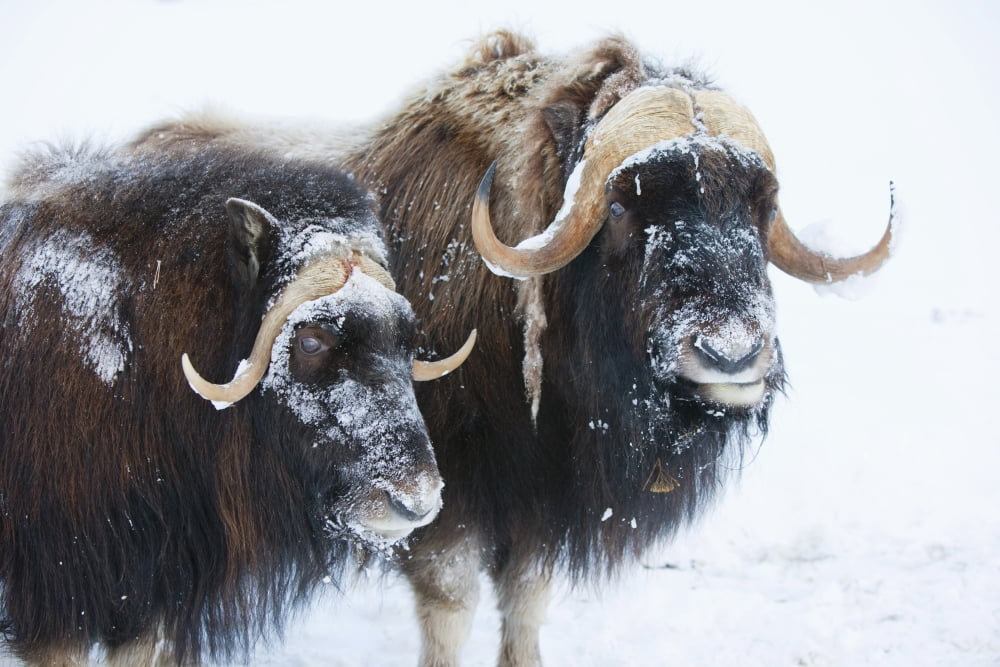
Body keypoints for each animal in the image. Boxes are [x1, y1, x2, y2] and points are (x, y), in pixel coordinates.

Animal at [132, 30, 894, 666]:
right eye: (623, 205)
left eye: (760, 206)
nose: (732, 353)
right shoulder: (443, 503)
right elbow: (452, 608)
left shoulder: (539, 506)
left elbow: (527, 604)